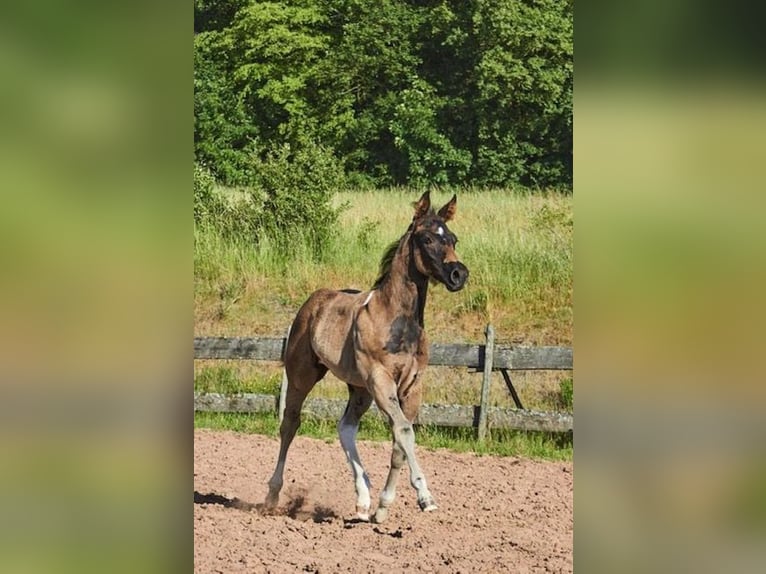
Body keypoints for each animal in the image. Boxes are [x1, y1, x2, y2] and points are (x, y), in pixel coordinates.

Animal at [264, 191, 469, 523]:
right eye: (426, 238)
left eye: (453, 238)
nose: (458, 274)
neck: (397, 321)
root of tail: (312, 302)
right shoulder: (381, 380)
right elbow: (404, 431)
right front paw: (425, 497)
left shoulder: (411, 386)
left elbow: (400, 441)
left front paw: (382, 508)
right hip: (302, 377)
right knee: (290, 424)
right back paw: (272, 494)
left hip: (359, 389)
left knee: (346, 427)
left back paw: (362, 500)